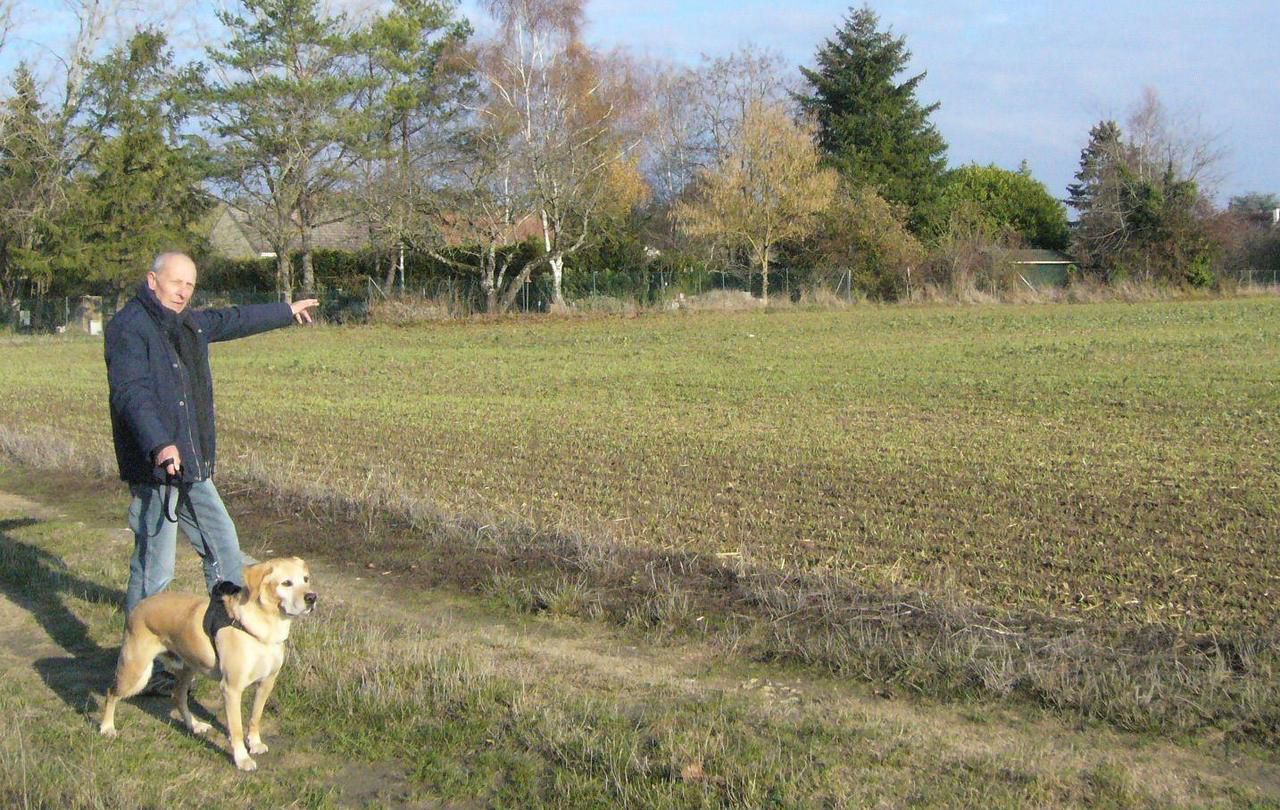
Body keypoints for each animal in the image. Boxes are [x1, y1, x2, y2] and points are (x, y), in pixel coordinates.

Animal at [97, 555, 317, 772]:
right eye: (286, 583)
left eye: (306, 579)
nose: (312, 597)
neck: (264, 629)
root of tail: (140, 605)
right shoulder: (232, 688)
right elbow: (236, 728)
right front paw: (242, 759)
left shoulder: (267, 682)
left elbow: (255, 717)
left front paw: (254, 743)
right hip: (136, 672)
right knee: (111, 692)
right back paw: (107, 727)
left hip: (189, 667)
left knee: (178, 695)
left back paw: (195, 725)